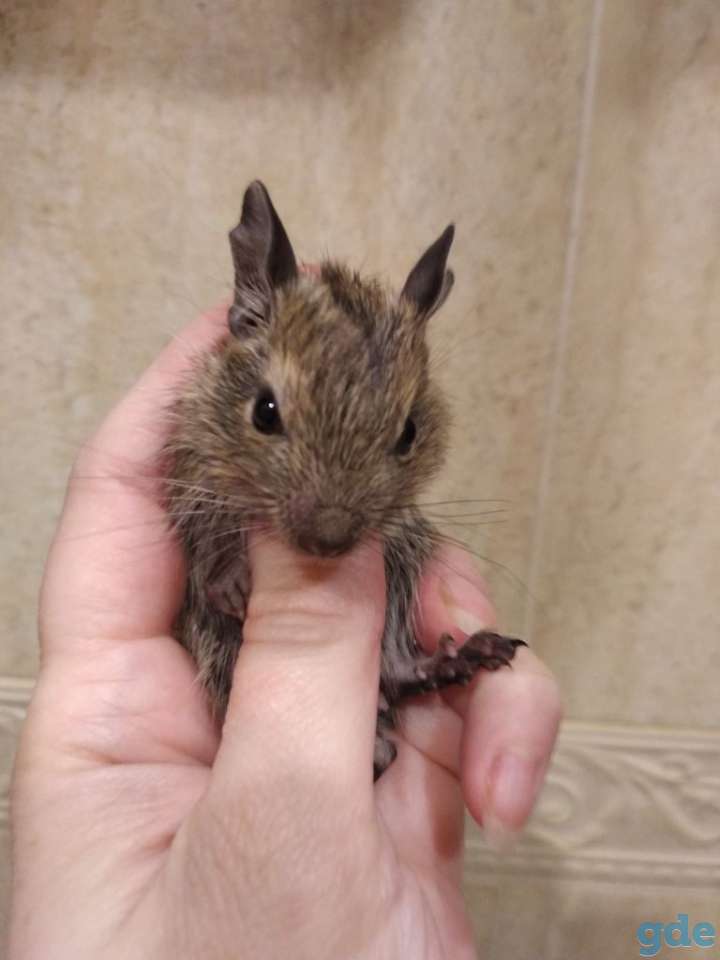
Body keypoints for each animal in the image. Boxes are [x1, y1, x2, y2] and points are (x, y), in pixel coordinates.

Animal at [164, 181, 524, 779]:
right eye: (264, 412)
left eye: (409, 431)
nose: (328, 540)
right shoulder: (184, 460)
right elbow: (203, 519)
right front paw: (227, 575)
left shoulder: (401, 528)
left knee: (397, 668)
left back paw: (447, 664)